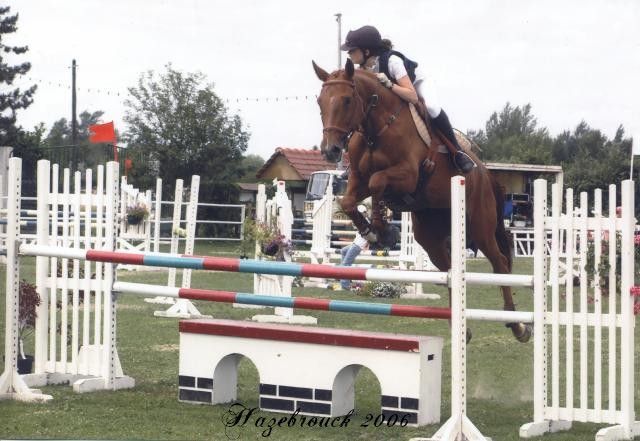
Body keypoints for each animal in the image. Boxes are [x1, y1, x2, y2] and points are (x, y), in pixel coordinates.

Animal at [312, 59, 532, 342]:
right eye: (320, 101)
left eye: (347, 100)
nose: (330, 151)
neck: (376, 129)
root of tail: (485, 173)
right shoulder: (358, 181)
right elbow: (349, 201)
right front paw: (374, 232)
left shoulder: (407, 175)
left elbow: (377, 183)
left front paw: (382, 230)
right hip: (430, 237)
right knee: (450, 269)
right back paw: (461, 328)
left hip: (480, 229)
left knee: (500, 263)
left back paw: (518, 325)